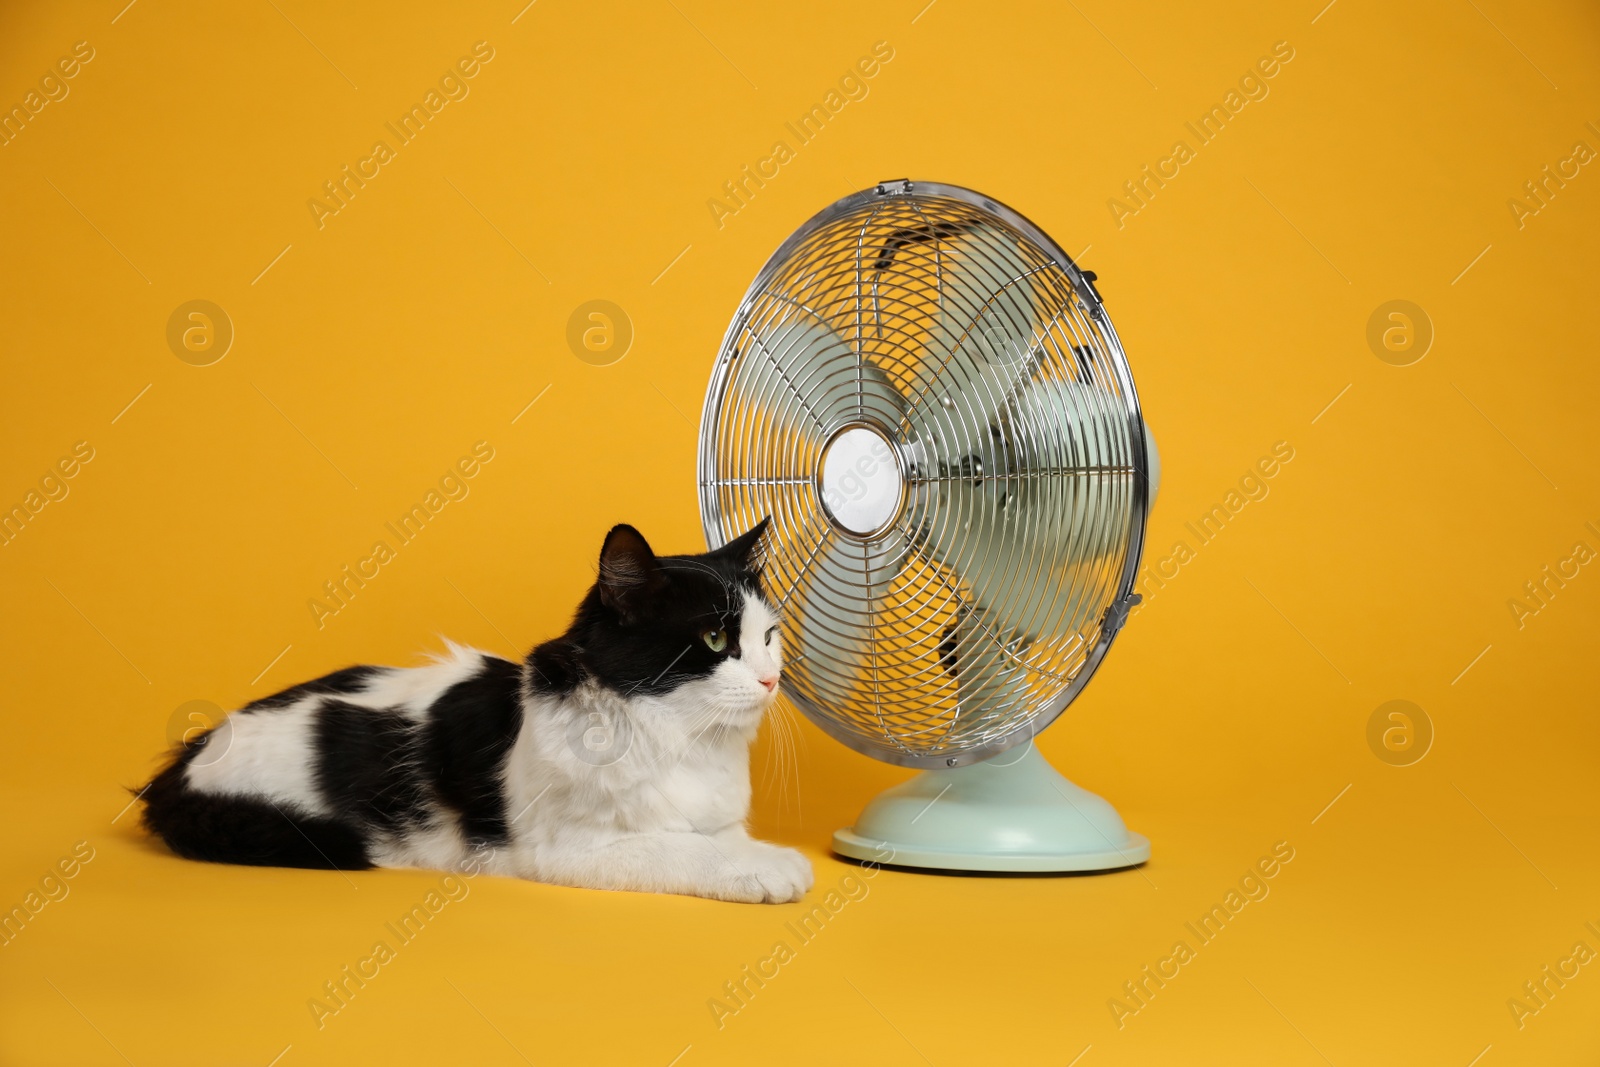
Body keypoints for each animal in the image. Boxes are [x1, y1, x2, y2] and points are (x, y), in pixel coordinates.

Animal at [139, 521, 819, 908]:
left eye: (769, 638)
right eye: (714, 640)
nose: (771, 678)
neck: (681, 739)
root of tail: (182, 761)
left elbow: (721, 838)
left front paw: (760, 855)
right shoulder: (570, 846)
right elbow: (687, 850)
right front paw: (766, 869)